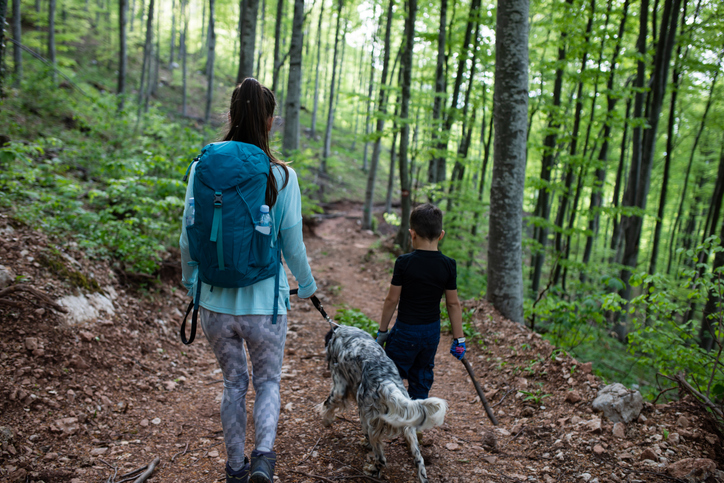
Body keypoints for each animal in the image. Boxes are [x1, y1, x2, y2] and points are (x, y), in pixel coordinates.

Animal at [318, 328, 446, 482]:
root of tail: (387, 383)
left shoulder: (339, 387)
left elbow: (327, 405)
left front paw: (325, 420)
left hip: (367, 418)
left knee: (381, 458)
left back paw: (371, 470)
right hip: (408, 425)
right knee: (420, 461)